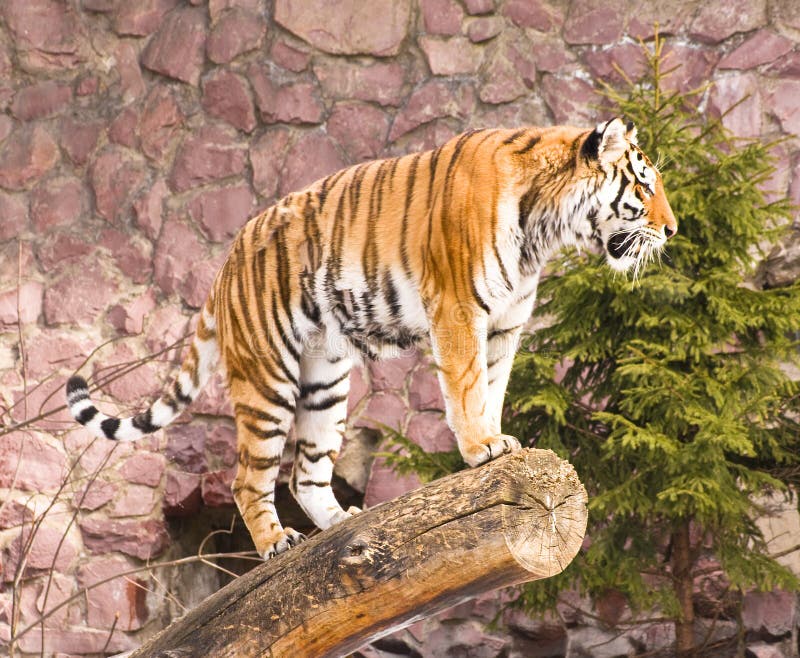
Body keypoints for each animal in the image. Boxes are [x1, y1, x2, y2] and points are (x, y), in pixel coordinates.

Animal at [67, 116, 676, 552]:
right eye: (643, 187)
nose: (672, 230)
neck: (543, 229)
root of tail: (225, 264)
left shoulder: (505, 323)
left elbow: (494, 385)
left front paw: (499, 441)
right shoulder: (459, 308)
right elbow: (467, 385)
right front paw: (482, 447)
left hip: (324, 379)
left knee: (306, 473)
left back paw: (342, 525)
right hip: (268, 378)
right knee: (250, 477)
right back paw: (277, 542)